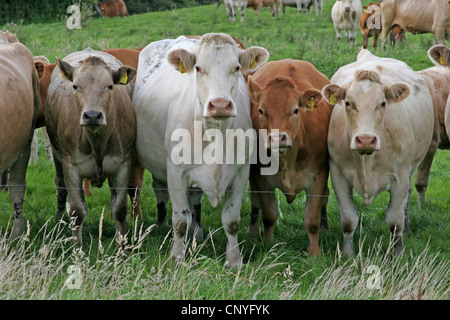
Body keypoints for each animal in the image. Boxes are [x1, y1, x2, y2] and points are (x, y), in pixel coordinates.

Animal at [132, 33, 268, 268]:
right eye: (198, 67)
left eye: (237, 67)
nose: (220, 104)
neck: (214, 134)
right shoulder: (175, 172)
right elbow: (180, 220)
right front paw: (176, 258)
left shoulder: (241, 172)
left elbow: (231, 220)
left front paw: (234, 260)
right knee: (161, 190)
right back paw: (162, 224)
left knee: (195, 199)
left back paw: (197, 233)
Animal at [324, 48, 436, 256]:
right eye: (348, 103)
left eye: (383, 103)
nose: (365, 139)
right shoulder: (337, 174)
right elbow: (348, 219)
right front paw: (348, 254)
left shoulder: (400, 177)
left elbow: (394, 221)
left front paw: (398, 253)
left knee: (407, 198)